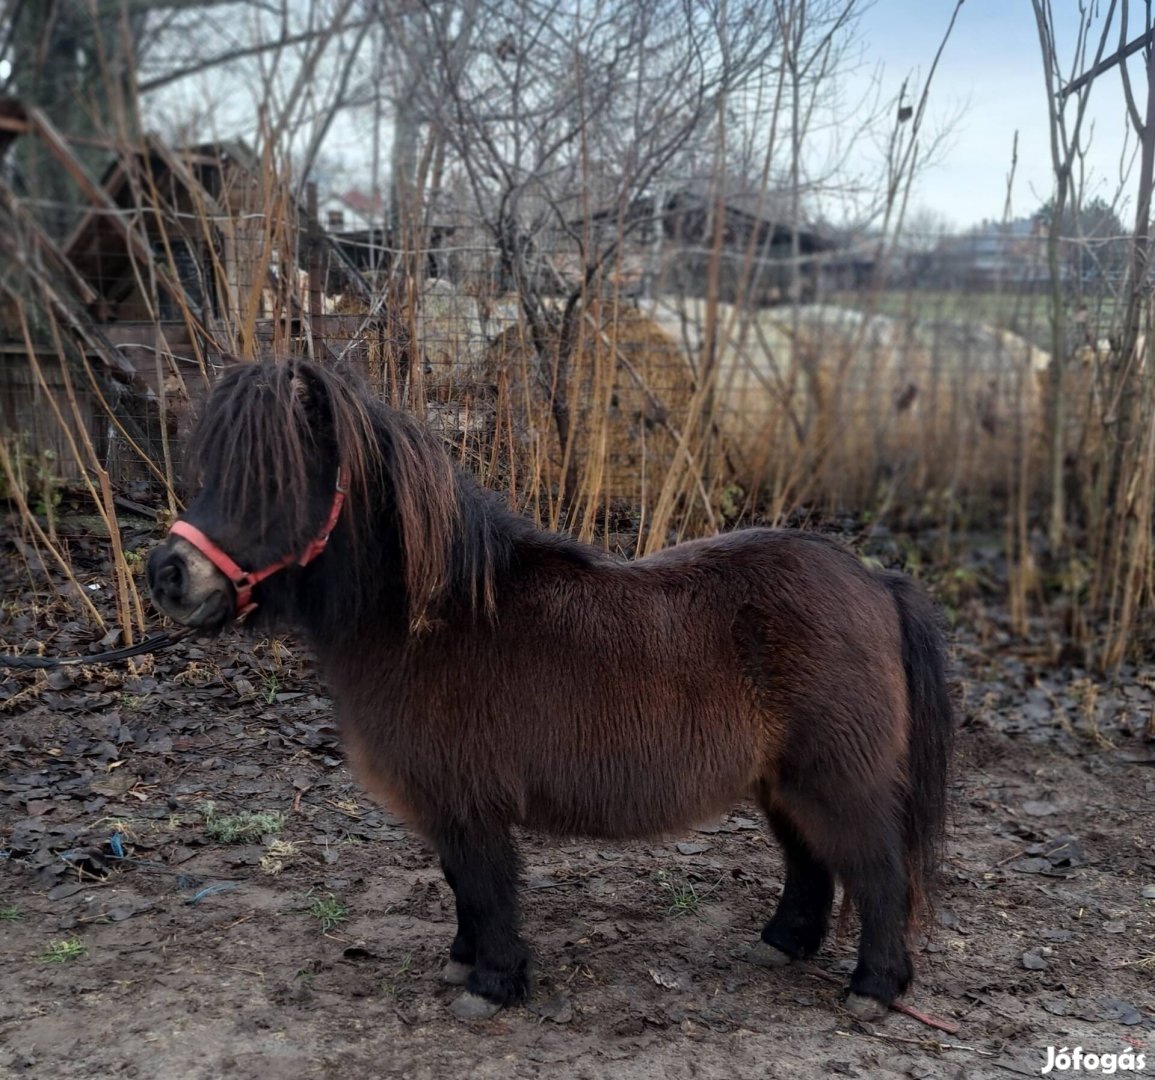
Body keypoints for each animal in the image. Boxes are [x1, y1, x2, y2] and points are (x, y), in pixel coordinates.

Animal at [146, 360, 956, 1021]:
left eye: (270, 481)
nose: (168, 574)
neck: (436, 619)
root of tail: (872, 579)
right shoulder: (448, 805)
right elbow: (460, 883)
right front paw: (464, 961)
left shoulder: (468, 802)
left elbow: (484, 884)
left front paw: (493, 984)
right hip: (782, 783)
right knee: (810, 862)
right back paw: (784, 943)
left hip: (836, 778)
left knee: (878, 871)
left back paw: (874, 988)